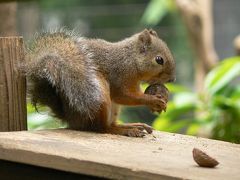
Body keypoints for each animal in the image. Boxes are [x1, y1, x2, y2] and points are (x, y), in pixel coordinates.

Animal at [24, 28, 175, 137]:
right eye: (159, 60)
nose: (172, 79)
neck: (131, 60)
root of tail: (72, 119)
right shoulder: (119, 76)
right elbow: (123, 96)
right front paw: (153, 100)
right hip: (99, 96)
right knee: (102, 128)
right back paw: (124, 130)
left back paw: (131, 126)